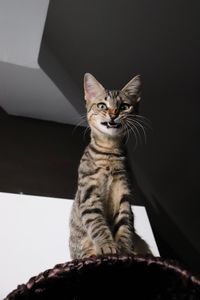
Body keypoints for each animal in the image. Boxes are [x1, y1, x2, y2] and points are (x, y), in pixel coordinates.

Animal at [69, 72, 152, 258]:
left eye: (124, 106)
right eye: (102, 105)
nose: (113, 114)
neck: (109, 151)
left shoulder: (124, 193)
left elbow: (125, 225)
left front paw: (124, 250)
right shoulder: (89, 193)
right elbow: (97, 224)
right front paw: (107, 245)